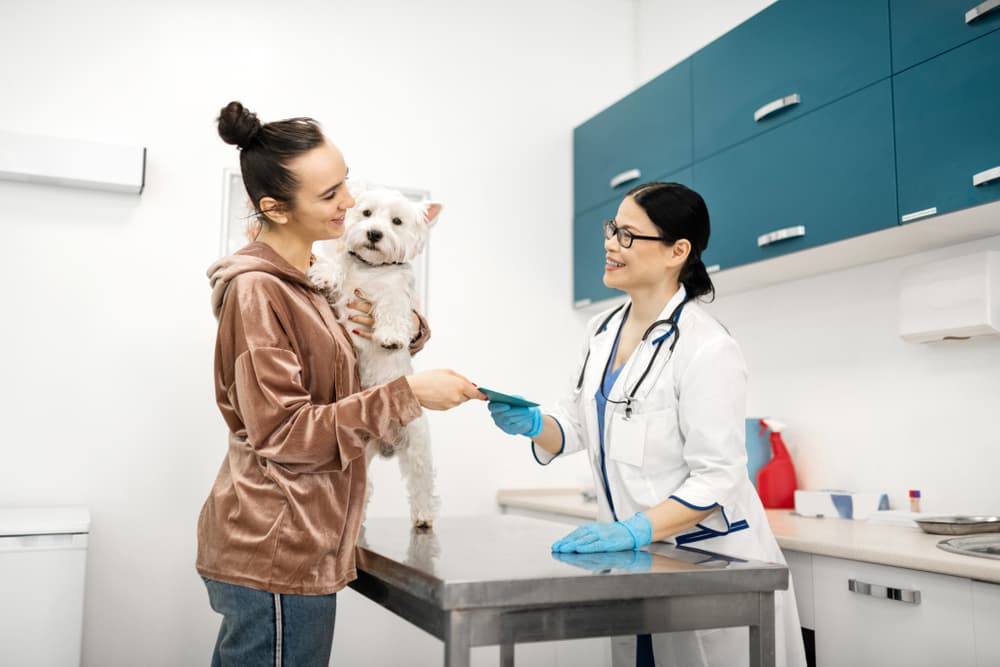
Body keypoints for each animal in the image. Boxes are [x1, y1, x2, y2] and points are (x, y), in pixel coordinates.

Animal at [308, 187, 442, 528]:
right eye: (366, 213)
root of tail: (385, 443)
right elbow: (336, 265)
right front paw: (323, 275)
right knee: (363, 488)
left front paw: (391, 337)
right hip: (358, 453)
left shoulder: (399, 293)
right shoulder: (344, 283)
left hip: (417, 445)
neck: (371, 268)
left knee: (422, 484)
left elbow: (393, 305)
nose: (373, 233)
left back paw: (423, 517)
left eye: (396, 221)